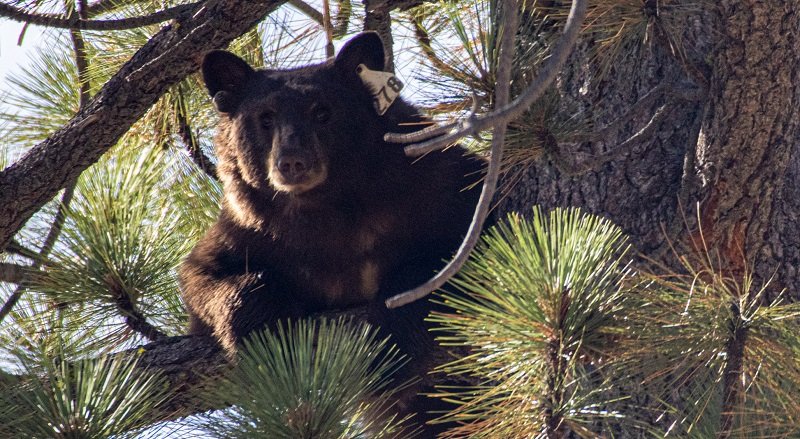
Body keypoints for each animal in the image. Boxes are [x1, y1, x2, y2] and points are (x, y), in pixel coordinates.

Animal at [179, 32, 484, 434]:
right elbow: (202, 276)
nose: (293, 161)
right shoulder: (249, 229)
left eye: (322, 111)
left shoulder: (435, 181)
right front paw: (258, 320)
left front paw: (394, 338)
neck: (326, 210)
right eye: (265, 117)